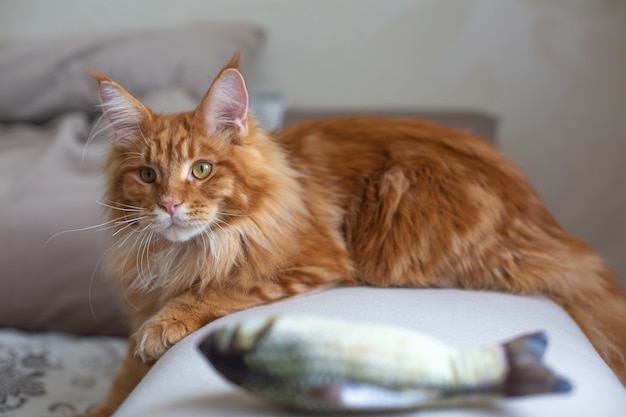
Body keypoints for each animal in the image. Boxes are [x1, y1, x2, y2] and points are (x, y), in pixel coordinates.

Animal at [80, 56, 620, 416]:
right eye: (148, 175)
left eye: (201, 169)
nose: (169, 205)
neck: (182, 255)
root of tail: (555, 232)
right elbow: (122, 380)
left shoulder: (313, 263)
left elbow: (220, 287)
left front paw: (166, 324)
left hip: (397, 205)